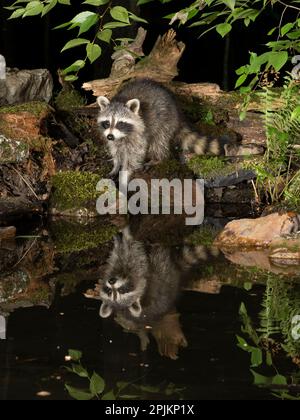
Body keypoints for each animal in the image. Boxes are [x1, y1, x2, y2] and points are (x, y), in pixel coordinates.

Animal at [97, 78, 233, 185]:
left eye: (120, 123)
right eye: (107, 123)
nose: (109, 136)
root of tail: (178, 113)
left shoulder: (139, 134)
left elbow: (134, 156)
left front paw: (124, 176)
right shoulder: (116, 138)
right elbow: (116, 150)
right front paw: (116, 165)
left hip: (165, 122)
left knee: (159, 143)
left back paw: (157, 159)